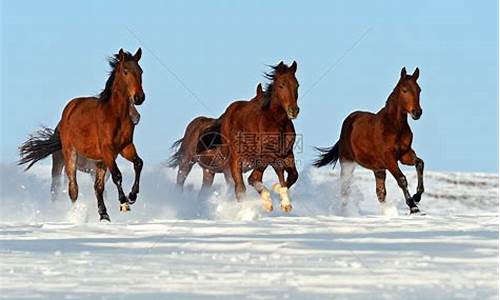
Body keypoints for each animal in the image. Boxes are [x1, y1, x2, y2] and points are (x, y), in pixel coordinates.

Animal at [19, 48, 145, 221]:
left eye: (140, 71)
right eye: (125, 71)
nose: (139, 98)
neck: (115, 116)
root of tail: (68, 111)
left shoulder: (125, 148)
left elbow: (138, 164)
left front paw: (132, 195)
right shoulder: (107, 150)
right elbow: (117, 175)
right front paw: (124, 202)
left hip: (99, 162)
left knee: (98, 187)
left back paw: (104, 215)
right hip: (69, 156)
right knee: (72, 189)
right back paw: (74, 215)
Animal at [200, 61, 300, 212]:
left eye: (297, 85)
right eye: (281, 85)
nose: (293, 110)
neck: (276, 123)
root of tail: (227, 113)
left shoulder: (287, 154)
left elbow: (293, 176)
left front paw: (284, 201)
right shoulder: (267, 155)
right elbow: (261, 177)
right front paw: (274, 199)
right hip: (235, 159)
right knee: (241, 188)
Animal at [314, 67, 424, 216]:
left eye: (419, 90)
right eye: (404, 90)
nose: (417, 112)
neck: (394, 126)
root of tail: (349, 120)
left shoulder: (404, 155)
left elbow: (420, 163)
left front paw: (417, 196)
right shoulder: (389, 158)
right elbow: (402, 179)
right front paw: (413, 207)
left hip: (378, 169)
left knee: (380, 193)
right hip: (347, 162)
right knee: (345, 190)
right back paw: (345, 213)